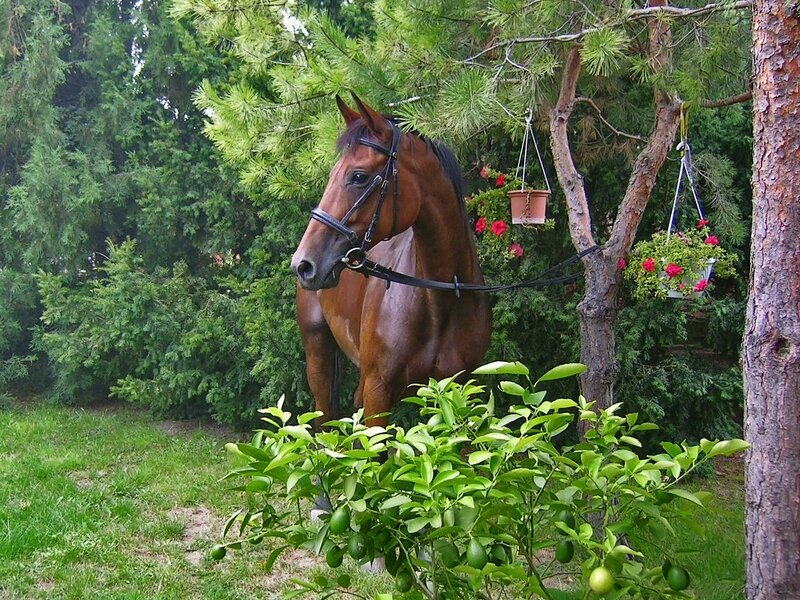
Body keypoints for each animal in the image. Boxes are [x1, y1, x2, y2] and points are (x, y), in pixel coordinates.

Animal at [290, 95, 492, 428]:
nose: (303, 264)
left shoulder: (457, 392)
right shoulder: (378, 391)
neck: (439, 298)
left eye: (358, 176)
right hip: (317, 352)